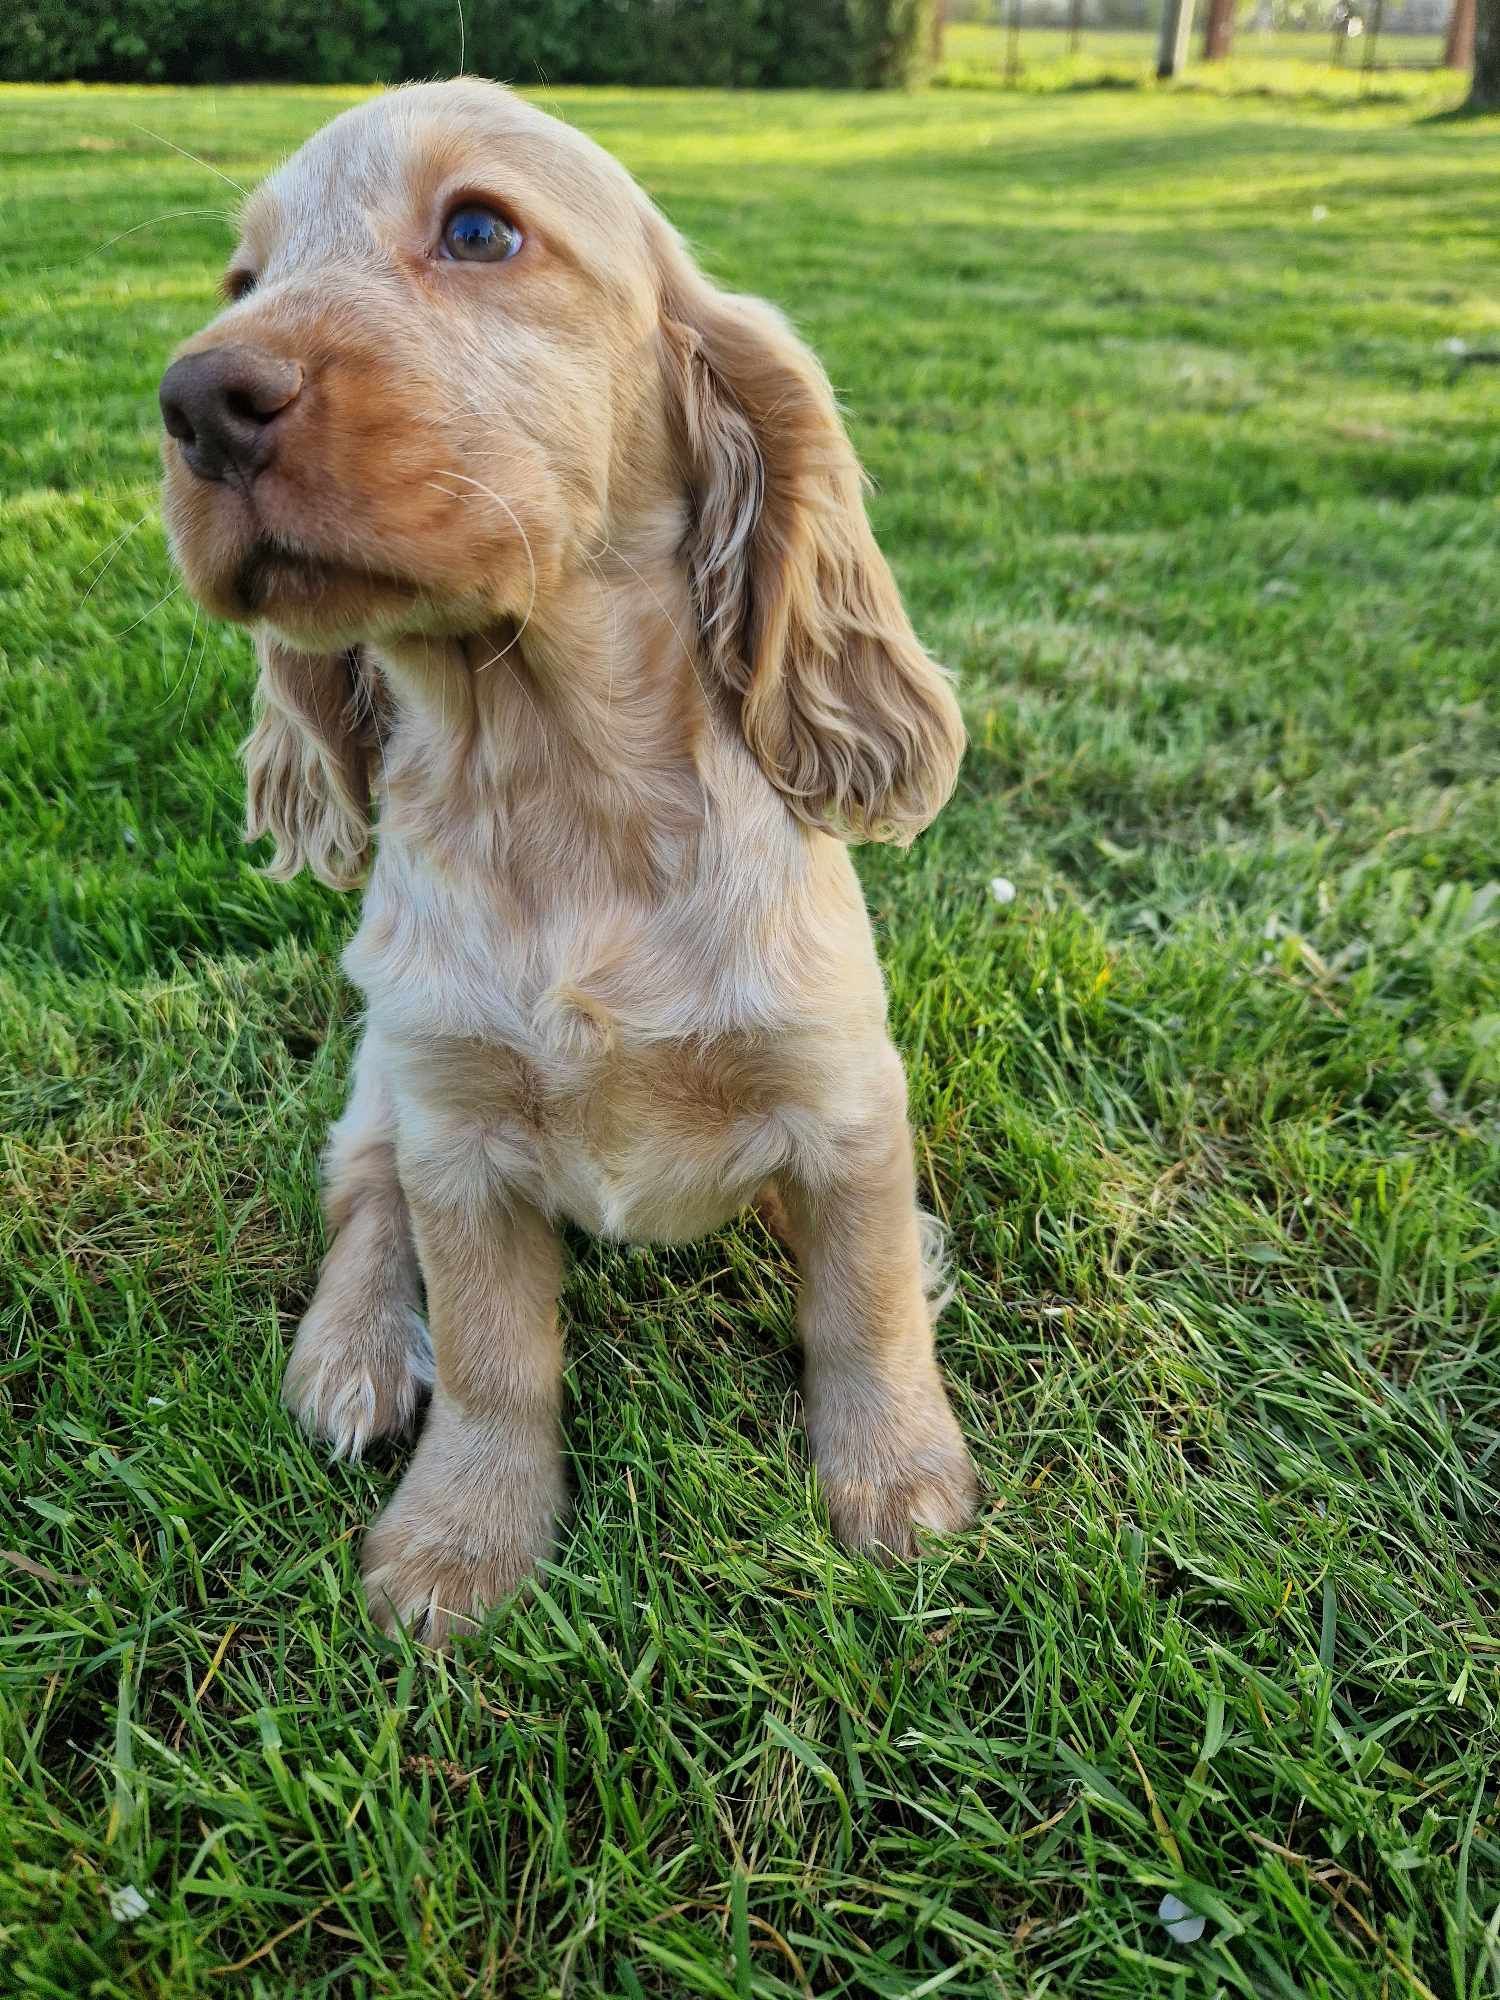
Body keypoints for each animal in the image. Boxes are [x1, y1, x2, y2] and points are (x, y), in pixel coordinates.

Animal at [159, 78, 980, 1640]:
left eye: (481, 230)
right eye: (241, 279)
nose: (195, 403)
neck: (557, 786)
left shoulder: (842, 1092)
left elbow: (865, 1299)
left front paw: (900, 1481)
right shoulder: (459, 1129)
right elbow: (495, 1352)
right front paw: (461, 1541)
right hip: (385, 1069)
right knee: (360, 1188)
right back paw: (354, 1349)